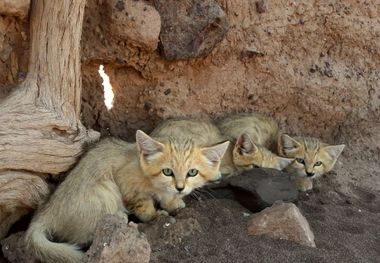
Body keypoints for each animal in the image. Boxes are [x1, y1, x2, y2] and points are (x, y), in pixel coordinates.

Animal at [27, 130, 229, 263]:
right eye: (167, 172)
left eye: (192, 172)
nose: (180, 187)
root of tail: (47, 211)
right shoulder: (126, 184)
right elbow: (143, 205)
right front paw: (155, 215)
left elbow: (167, 197)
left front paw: (174, 202)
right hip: (106, 191)